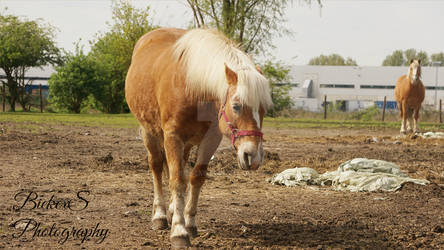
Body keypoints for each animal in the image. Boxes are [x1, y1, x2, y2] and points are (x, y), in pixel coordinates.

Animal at [124, 27, 270, 248]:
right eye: (236, 106)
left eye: (264, 109)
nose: (252, 156)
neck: (194, 87)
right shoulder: (173, 136)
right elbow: (177, 180)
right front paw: (179, 231)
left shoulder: (211, 138)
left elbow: (195, 177)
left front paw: (189, 223)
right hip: (149, 131)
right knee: (157, 167)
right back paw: (160, 215)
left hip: (185, 144)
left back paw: (172, 210)